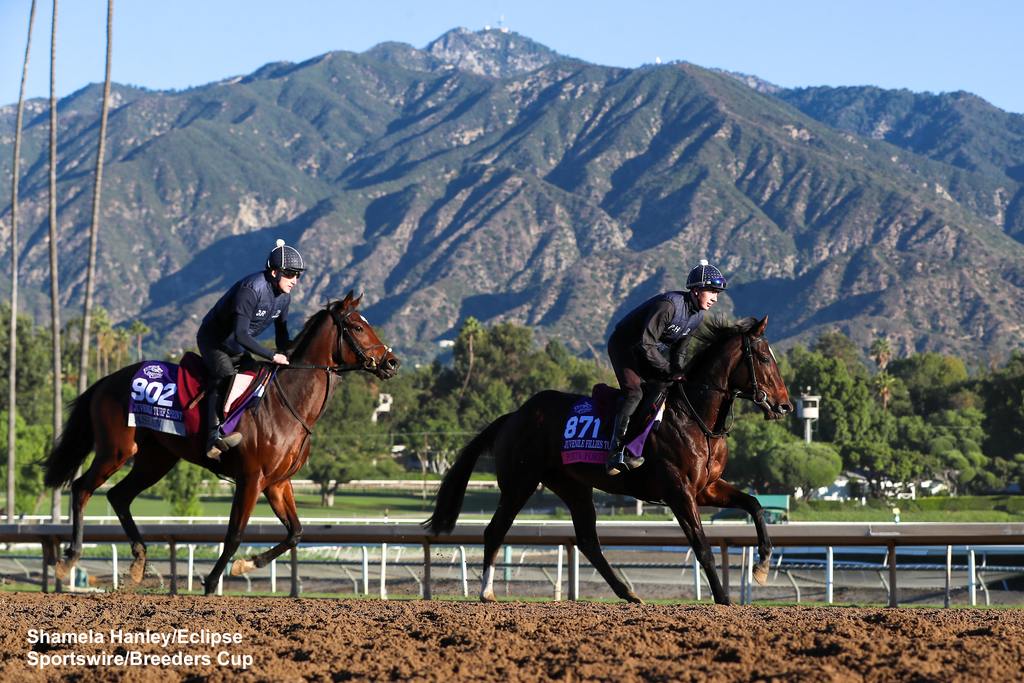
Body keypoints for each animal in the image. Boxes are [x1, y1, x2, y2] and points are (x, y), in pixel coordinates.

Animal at [44, 290, 397, 593]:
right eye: (356, 326)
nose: (391, 362)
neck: (287, 402)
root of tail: (106, 380)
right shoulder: (251, 478)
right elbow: (235, 534)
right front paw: (213, 581)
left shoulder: (278, 482)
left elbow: (295, 533)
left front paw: (247, 564)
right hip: (116, 449)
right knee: (82, 488)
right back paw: (69, 559)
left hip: (156, 460)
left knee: (118, 496)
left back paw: (139, 561)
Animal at [423, 315, 790, 602]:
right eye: (763, 357)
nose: (784, 405)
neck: (694, 417)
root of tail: (514, 415)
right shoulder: (678, 491)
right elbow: (701, 545)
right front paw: (724, 599)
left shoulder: (705, 488)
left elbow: (755, 505)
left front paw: (762, 565)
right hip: (519, 483)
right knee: (495, 530)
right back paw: (486, 592)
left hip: (573, 487)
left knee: (588, 540)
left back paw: (628, 593)